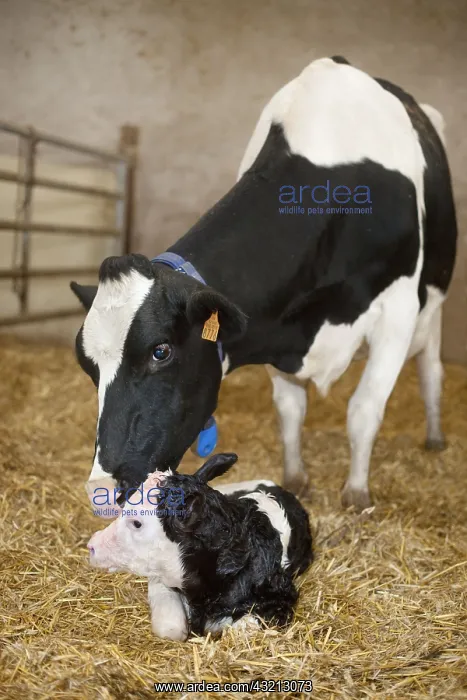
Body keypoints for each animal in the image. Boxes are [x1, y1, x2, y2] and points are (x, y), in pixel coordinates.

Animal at [71, 56, 457, 516]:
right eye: (86, 364)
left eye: (160, 351)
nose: (101, 489)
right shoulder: (275, 319)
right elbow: (289, 409)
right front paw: (296, 478)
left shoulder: (397, 309)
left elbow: (364, 409)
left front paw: (357, 493)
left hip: (432, 306)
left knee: (430, 368)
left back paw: (434, 436)